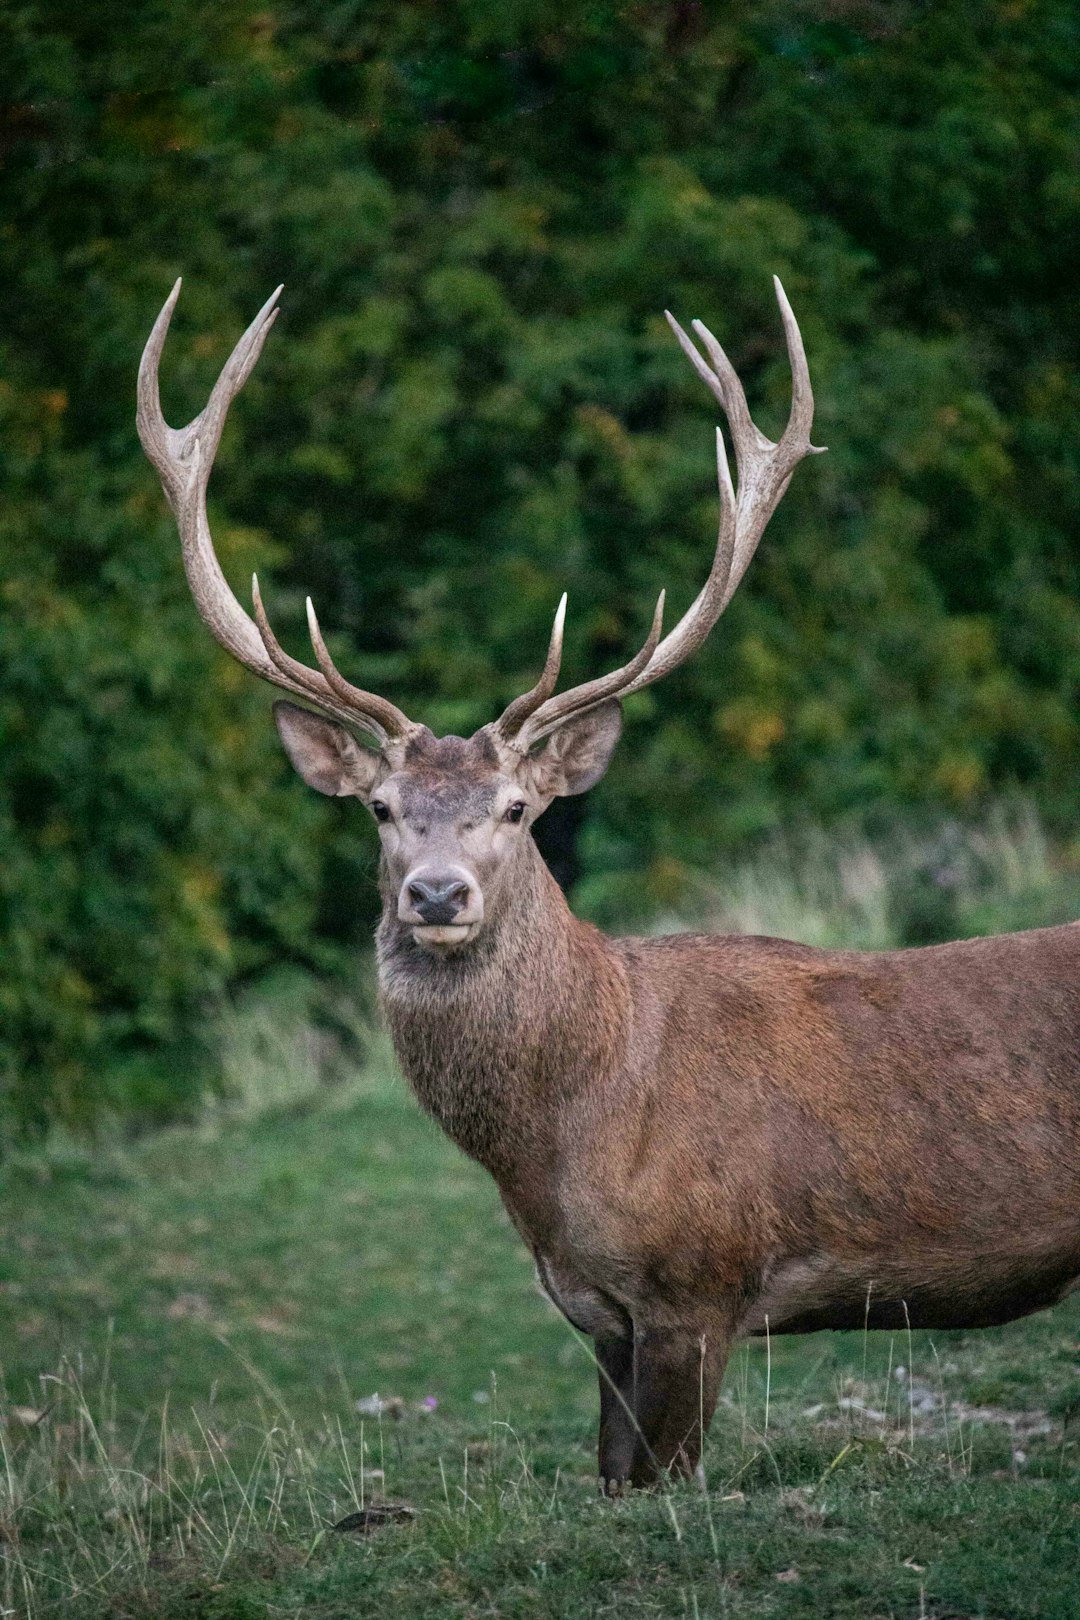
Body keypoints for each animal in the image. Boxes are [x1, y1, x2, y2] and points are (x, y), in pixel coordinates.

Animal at [137, 277, 1080, 1495]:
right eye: (380, 809)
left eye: (517, 810)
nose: (435, 896)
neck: (564, 1138)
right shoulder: (602, 1318)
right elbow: (611, 1475)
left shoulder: (698, 1284)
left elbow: (663, 1480)